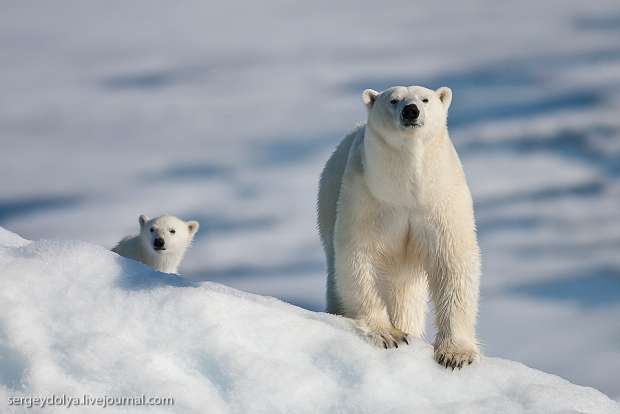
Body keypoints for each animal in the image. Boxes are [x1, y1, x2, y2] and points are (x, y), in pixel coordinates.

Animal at [318, 85, 482, 368]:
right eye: (393, 100)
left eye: (425, 99)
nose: (411, 111)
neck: (407, 191)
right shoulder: (369, 196)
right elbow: (360, 256)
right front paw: (388, 334)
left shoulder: (440, 200)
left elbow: (453, 263)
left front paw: (455, 354)